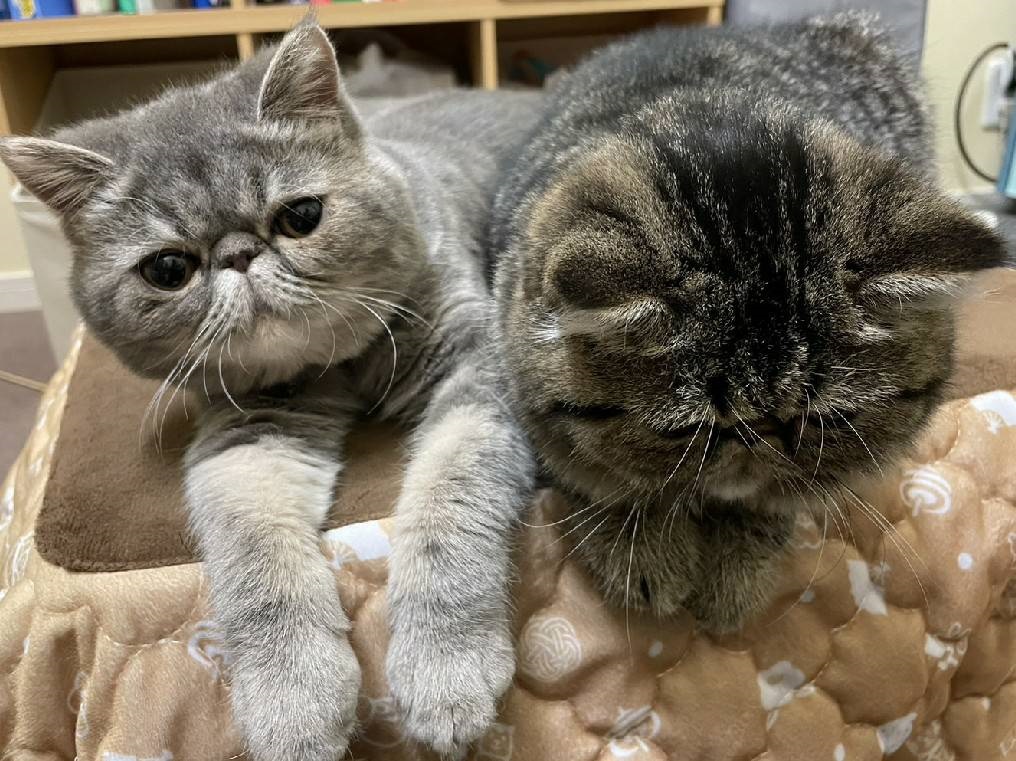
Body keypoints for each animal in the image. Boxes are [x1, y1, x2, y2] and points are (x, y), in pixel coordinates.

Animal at [1, 23, 540, 760]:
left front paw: (444, 663)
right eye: (168, 269)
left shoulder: (478, 375)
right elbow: (255, 561)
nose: (238, 255)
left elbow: (449, 505)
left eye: (300, 216)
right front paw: (293, 699)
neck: (335, 364)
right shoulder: (247, 439)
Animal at [490, 14, 1006, 633]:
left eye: (823, 422)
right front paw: (646, 549)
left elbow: (781, 503)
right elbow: (589, 475)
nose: (756, 447)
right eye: (685, 432)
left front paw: (734, 574)